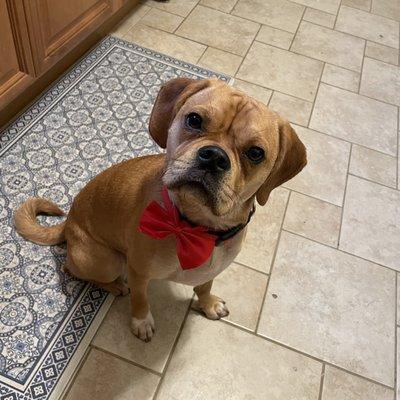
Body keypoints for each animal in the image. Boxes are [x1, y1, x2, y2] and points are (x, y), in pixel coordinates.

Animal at [13, 77, 306, 340]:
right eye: (194, 120)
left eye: (256, 153)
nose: (214, 157)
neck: (196, 227)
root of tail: (68, 222)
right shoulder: (138, 272)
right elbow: (141, 300)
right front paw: (142, 322)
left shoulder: (212, 270)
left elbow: (204, 286)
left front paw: (208, 304)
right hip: (106, 261)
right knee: (71, 269)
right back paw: (114, 286)